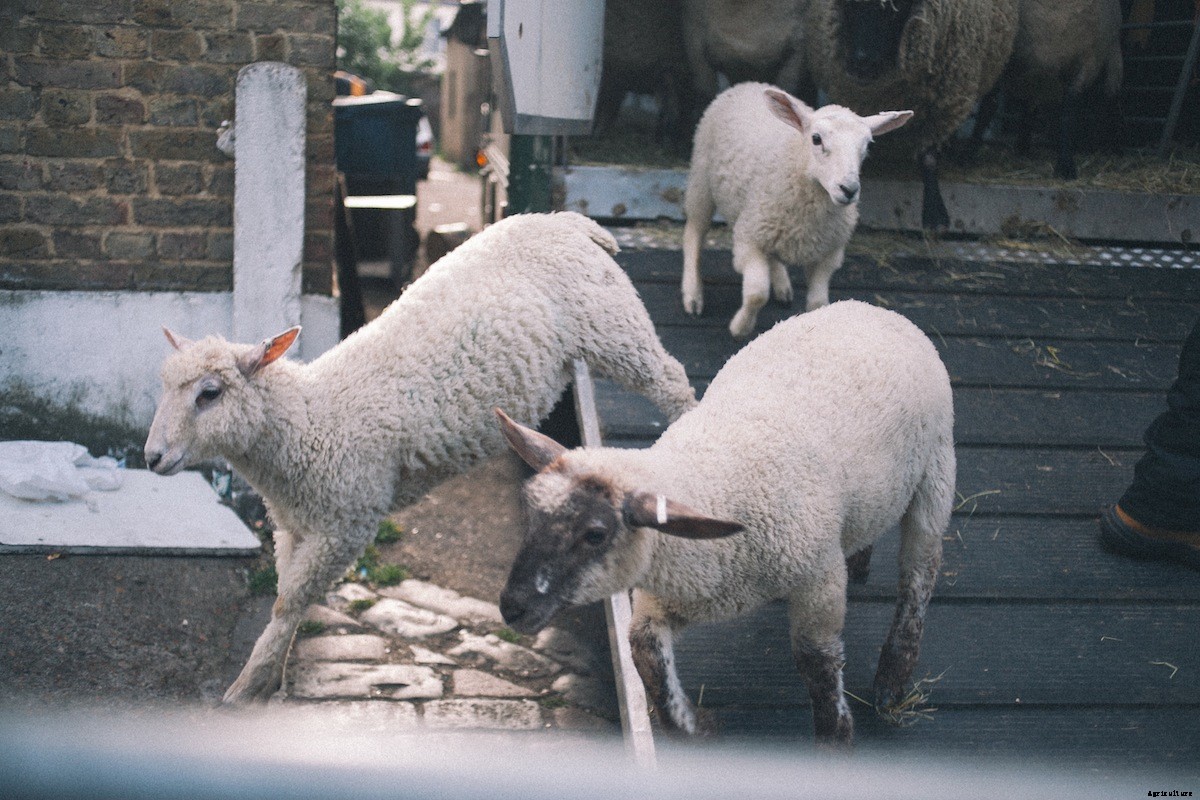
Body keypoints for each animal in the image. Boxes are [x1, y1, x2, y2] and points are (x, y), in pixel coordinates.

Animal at [142, 211, 697, 705]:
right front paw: (270, 677)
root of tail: (566, 221)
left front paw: (246, 687)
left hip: (614, 326)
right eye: (166, 386)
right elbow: (285, 597)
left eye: (210, 394)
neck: (309, 420)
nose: (151, 457)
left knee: (674, 382)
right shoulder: (294, 525)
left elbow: (287, 602)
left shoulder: (346, 523)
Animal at [495, 299, 956, 746]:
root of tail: (874, 309)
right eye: (528, 509)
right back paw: (860, 559)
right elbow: (643, 649)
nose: (512, 608)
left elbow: (817, 664)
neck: (714, 479)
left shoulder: (819, 580)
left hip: (936, 471)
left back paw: (891, 681)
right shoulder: (668, 593)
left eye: (595, 534)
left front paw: (834, 737)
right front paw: (693, 724)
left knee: (920, 573)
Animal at [682, 82, 911, 338]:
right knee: (693, 233)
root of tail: (749, 84)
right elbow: (757, 293)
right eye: (816, 139)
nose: (849, 189)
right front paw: (740, 327)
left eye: (868, 145)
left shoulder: (828, 254)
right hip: (701, 178)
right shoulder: (749, 239)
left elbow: (818, 303)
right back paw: (693, 295)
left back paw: (782, 286)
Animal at [805, 0, 1019, 229]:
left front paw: (935, 215)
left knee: (990, 105)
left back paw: (966, 154)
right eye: (851, 7)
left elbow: (929, 157)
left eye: (894, 11)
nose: (862, 63)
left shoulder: (939, 105)